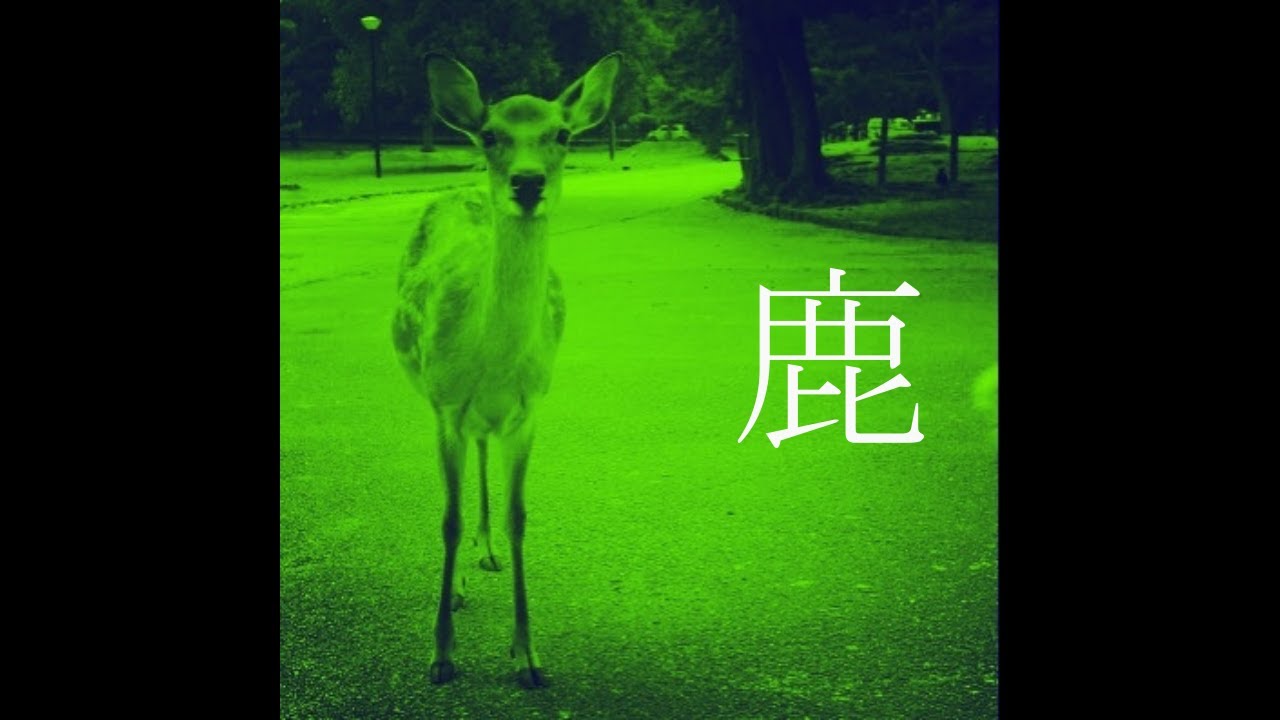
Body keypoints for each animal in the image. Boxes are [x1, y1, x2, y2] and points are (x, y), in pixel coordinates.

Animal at [392, 52, 621, 689]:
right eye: (490, 135)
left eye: (562, 134)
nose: (527, 182)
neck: (491, 363)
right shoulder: (446, 405)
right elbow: (447, 518)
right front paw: (441, 652)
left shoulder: (528, 411)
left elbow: (521, 517)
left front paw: (528, 655)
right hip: (429, 396)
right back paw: (461, 582)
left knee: (482, 453)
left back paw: (486, 548)